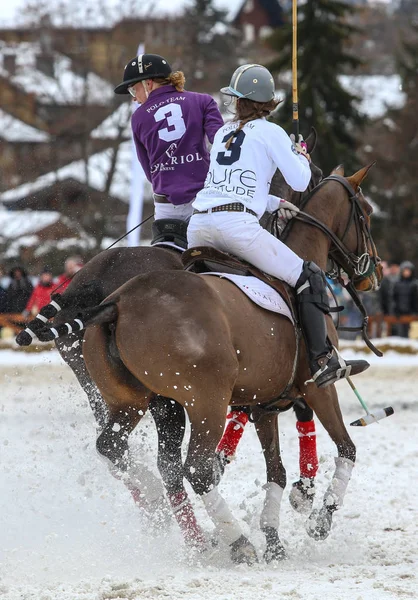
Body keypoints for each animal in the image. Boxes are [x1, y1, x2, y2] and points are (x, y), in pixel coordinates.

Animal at [72, 163, 382, 564]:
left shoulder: (264, 404)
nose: (372, 275)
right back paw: (235, 541)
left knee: (124, 451)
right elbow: (347, 448)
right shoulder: (318, 388)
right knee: (196, 467)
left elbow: (276, 472)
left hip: (137, 402)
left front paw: (275, 541)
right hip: (206, 400)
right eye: (368, 213)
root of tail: (118, 303)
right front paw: (320, 519)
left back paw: (182, 526)